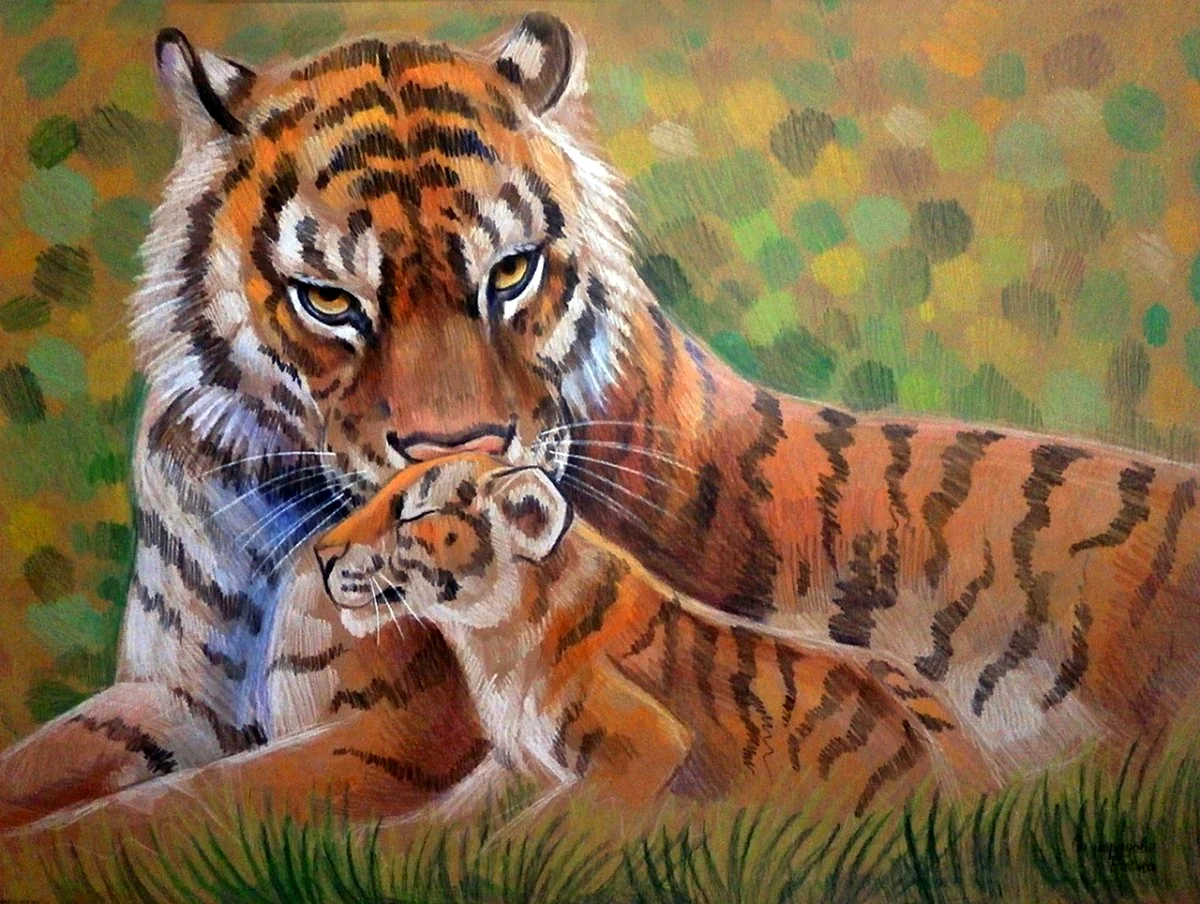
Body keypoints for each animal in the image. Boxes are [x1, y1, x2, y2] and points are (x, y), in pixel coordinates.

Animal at [314, 451, 994, 818]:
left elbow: (533, 833)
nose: (319, 554)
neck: (489, 641)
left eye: (414, 514)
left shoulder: (649, 745)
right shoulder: (508, 765)